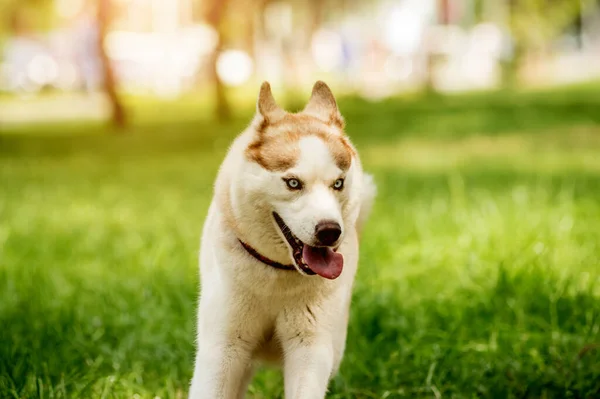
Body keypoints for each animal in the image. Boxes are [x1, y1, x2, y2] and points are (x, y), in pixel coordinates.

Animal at [190, 81, 376, 399]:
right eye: (293, 183)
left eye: (338, 183)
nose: (330, 231)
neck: (276, 275)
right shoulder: (224, 346)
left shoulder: (310, 346)